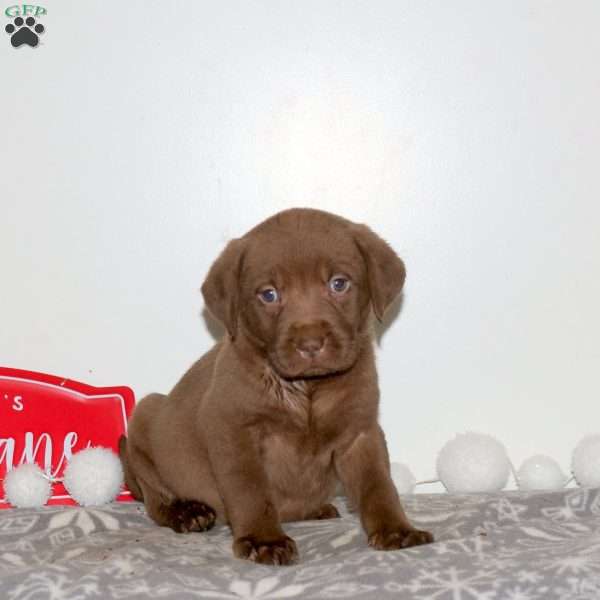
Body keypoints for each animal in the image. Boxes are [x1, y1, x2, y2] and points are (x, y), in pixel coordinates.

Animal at [119, 209, 434, 564]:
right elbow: (251, 491)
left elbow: (378, 486)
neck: (306, 390)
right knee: (153, 498)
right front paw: (263, 539)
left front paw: (397, 530)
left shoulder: (360, 431)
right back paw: (186, 512)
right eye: (269, 294)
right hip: (146, 415)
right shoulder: (233, 431)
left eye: (339, 283)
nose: (310, 343)